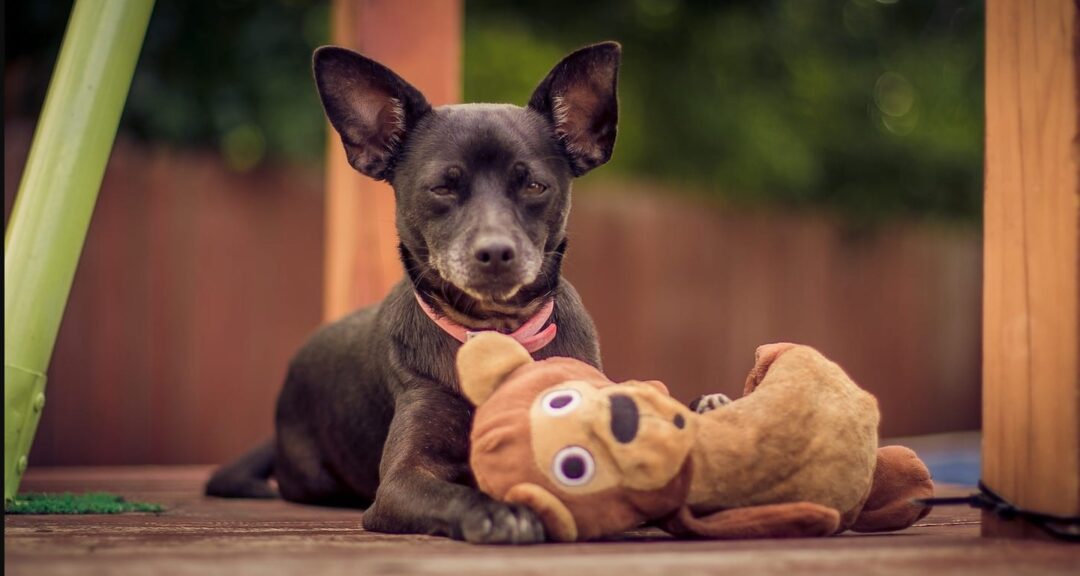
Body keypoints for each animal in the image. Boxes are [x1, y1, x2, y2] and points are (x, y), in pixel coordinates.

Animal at [206, 41, 622, 542]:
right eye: (441, 187)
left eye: (535, 186)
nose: (496, 251)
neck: (495, 333)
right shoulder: (400, 481)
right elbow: (451, 494)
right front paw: (498, 511)